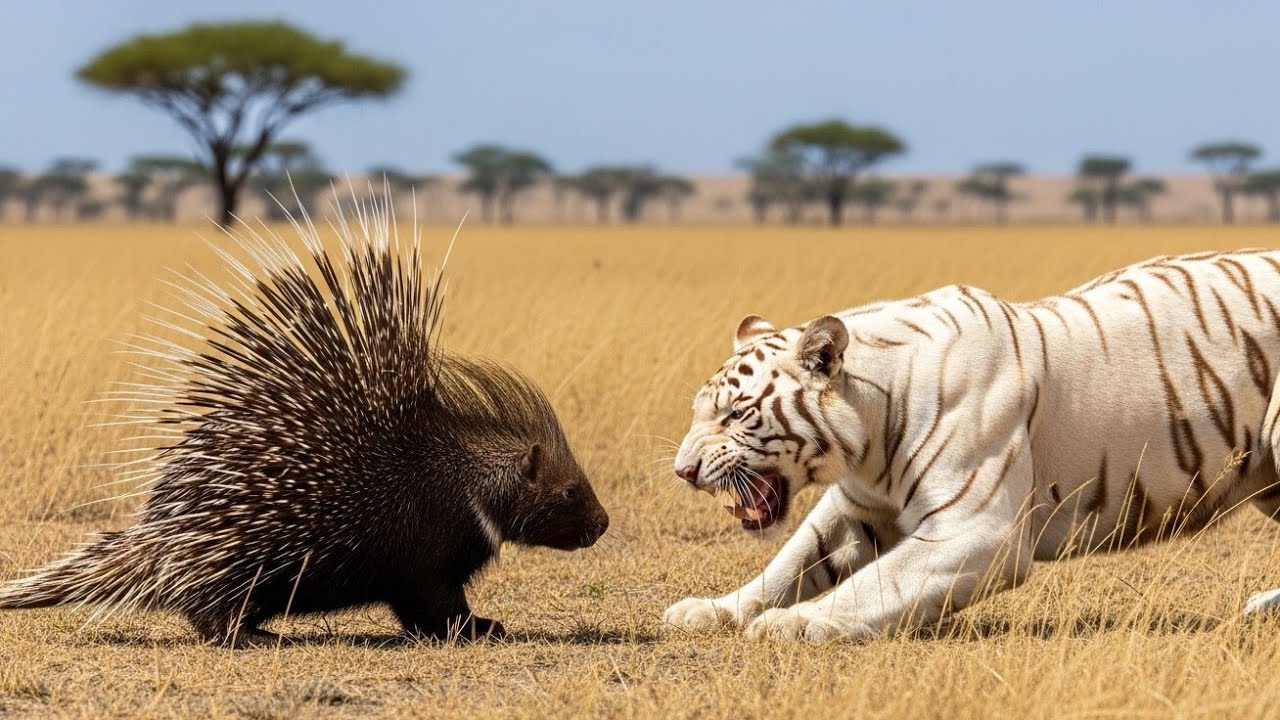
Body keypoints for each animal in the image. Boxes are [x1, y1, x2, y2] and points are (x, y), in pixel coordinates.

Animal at [663, 249, 1280, 642]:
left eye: (736, 414)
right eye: (699, 412)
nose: (683, 471)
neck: (867, 438)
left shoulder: (978, 529)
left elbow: (878, 581)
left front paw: (795, 623)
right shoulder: (858, 508)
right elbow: (788, 565)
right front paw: (712, 610)